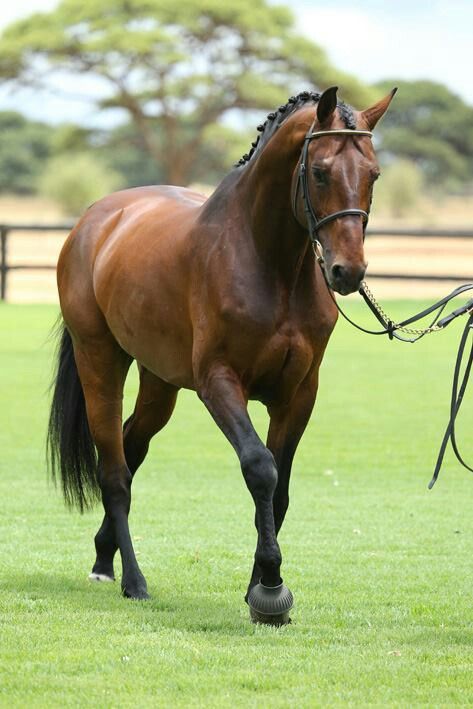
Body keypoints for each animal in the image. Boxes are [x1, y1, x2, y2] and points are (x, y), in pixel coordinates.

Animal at [47, 85, 394, 624]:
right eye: (319, 171)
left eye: (373, 173)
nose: (347, 272)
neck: (267, 261)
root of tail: (95, 220)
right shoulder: (218, 383)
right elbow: (260, 468)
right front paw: (270, 586)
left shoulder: (299, 394)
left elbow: (281, 488)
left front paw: (259, 589)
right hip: (99, 361)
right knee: (115, 470)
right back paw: (131, 580)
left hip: (159, 382)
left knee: (132, 444)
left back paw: (105, 556)